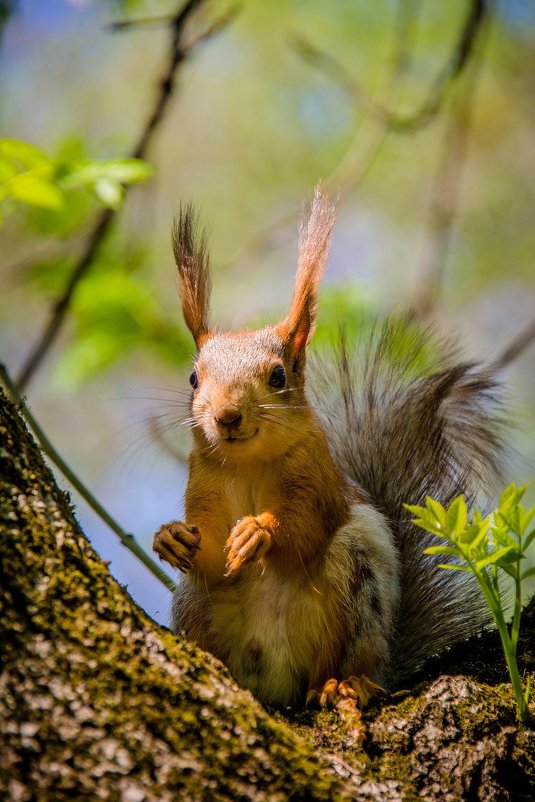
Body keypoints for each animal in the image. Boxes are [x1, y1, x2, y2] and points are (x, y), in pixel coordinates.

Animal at [153, 186, 504, 708]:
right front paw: (171, 536)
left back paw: (342, 683)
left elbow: (306, 528)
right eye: (194, 378)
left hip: (353, 586)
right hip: (196, 605)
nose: (226, 416)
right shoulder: (205, 484)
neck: (248, 464)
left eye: (278, 376)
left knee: (334, 659)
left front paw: (259, 531)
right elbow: (212, 558)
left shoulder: (317, 478)